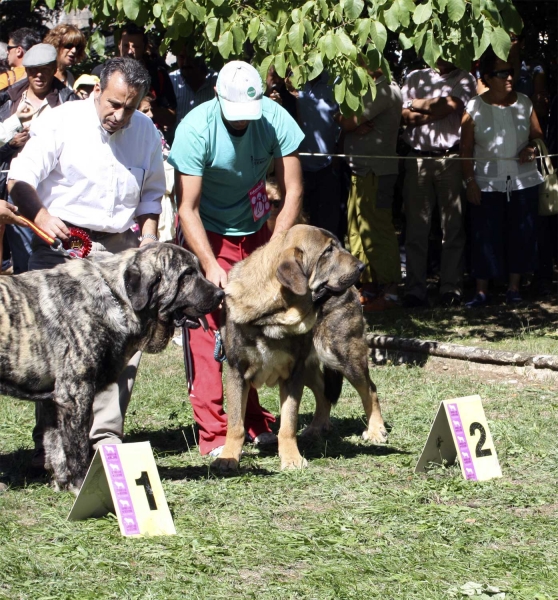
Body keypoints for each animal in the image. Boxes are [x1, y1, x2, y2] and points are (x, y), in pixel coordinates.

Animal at [212, 223, 388, 472]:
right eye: (327, 251)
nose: (362, 267)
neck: (273, 314)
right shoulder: (237, 373)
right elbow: (236, 424)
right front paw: (228, 458)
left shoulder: (292, 375)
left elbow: (288, 423)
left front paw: (291, 459)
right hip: (310, 366)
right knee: (324, 392)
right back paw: (316, 428)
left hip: (341, 355)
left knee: (369, 389)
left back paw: (375, 430)